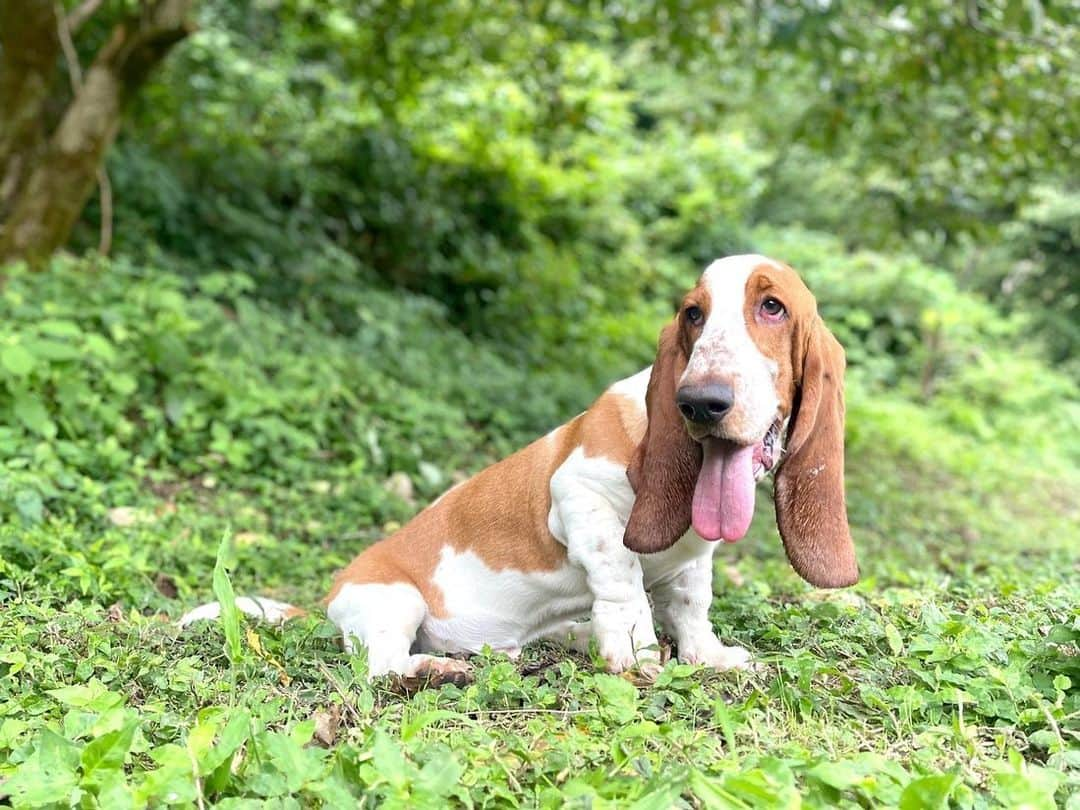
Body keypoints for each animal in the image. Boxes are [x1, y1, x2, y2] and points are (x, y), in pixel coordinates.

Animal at [181, 254, 855, 686]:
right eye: (694, 314)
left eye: (773, 307)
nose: (700, 402)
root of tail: (327, 599)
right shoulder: (577, 495)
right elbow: (624, 581)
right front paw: (632, 650)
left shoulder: (694, 562)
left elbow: (691, 606)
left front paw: (707, 656)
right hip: (394, 602)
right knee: (380, 669)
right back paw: (436, 668)